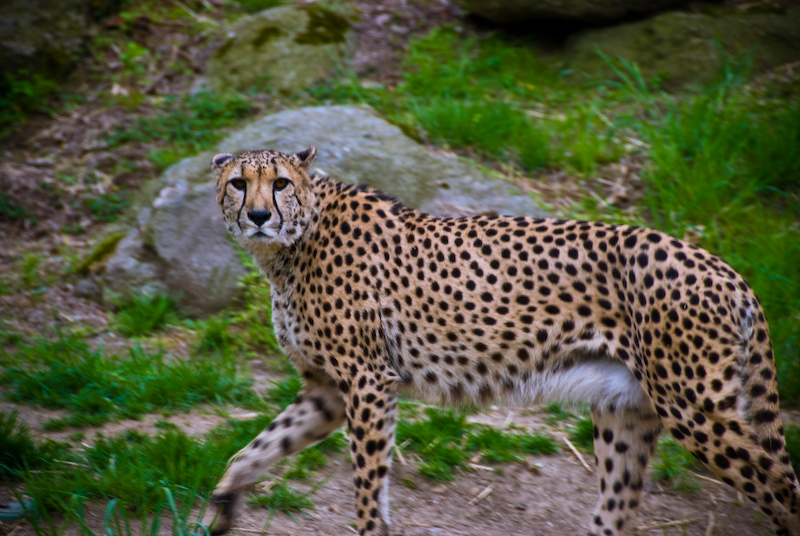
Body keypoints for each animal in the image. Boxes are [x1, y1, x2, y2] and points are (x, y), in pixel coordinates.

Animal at [208, 147, 800, 536]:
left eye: (280, 183)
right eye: (239, 183)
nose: (257, 215)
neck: (291, 244)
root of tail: (726, 269)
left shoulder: (368, 382)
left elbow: (368, 484)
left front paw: (371, 527)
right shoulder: (327, 391)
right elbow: (256, 448)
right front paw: (222, 505)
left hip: (695, 410)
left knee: (782, 487)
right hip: (627, 408)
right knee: (616, 508)